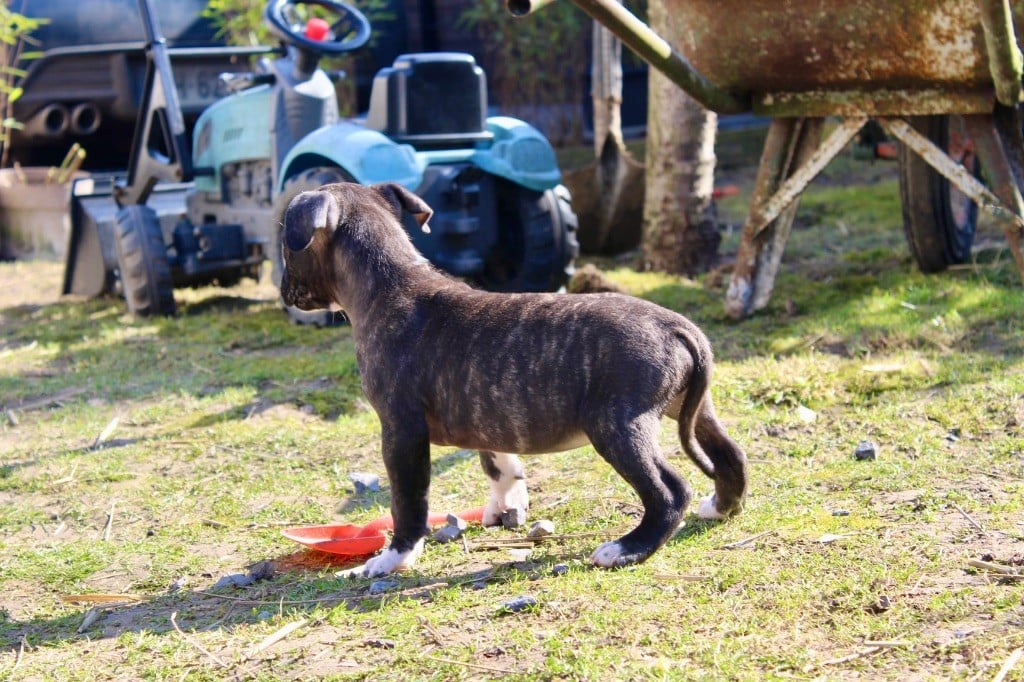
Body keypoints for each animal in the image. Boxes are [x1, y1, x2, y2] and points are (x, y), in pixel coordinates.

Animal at [284, 180, 749, 573]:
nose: (285, 290)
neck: (391, 281)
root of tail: (676, 326)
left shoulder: (401, 432)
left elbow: (408, 499)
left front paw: (395, 558)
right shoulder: (489, 413)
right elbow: (500, 465)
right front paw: (504, 507)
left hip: (617, 426)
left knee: (669, 491)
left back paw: (627, 548)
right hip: (692, 409)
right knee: (730, 453)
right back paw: (721, 506)